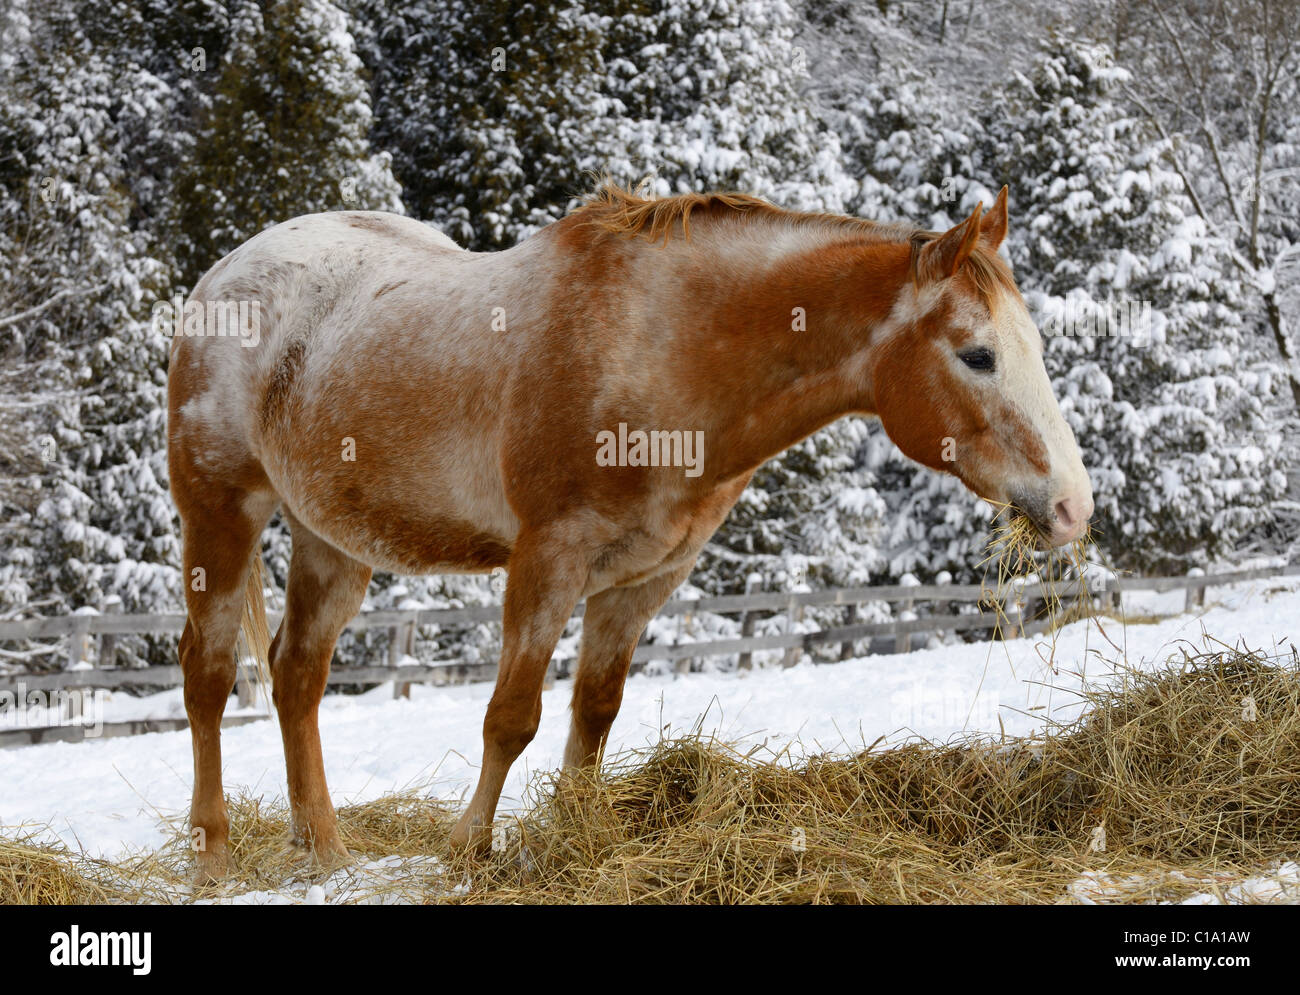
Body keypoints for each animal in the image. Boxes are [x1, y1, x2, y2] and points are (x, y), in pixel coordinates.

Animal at [167, 182, 1092, 879]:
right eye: (977, 354)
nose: (1074, 506)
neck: (662, 351)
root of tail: (223, 275)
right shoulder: (549, 558)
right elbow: (512, 717)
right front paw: (468, 851)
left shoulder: (643, 579)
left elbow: (595, 714)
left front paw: (572, 840)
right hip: (221, 511)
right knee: (208, 676)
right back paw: (213, 853)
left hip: (334, 540)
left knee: (297, 675)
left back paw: (324, 849)